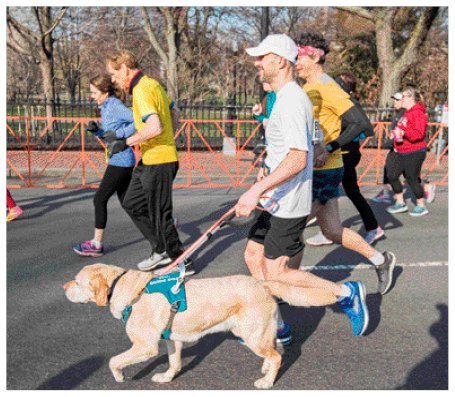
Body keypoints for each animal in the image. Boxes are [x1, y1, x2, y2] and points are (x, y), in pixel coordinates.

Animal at [62, 262, 336, 388]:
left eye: (76, 281)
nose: (64, 287)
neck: (122, 286)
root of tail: (262, 282)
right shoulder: (172, 340)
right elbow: (174, 362)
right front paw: (168, 377)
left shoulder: (145, 346)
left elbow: (112, 361)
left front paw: (119, 376)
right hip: (253, 332)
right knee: (276, 349)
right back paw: (266, 369)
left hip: (252, 334)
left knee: (277, 355)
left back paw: (268, 381)